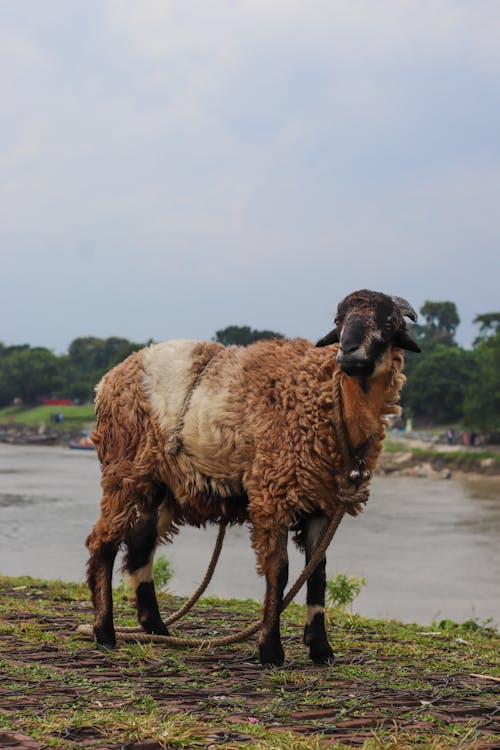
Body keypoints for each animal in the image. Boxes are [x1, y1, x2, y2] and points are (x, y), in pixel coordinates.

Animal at [86, 290, 418, 668]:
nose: (347, 352)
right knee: (104, 542)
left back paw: (156, 629)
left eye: (389, 322)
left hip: (162, 484)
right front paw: (270, 650)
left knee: (140, 546)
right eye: (339, 321)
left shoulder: (322, 502)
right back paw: (105, 633)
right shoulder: (273, 493)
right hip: (124, 469)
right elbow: (280, 571)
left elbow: (317, 573)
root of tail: (109, 379)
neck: (328, 401)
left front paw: (321, 649)